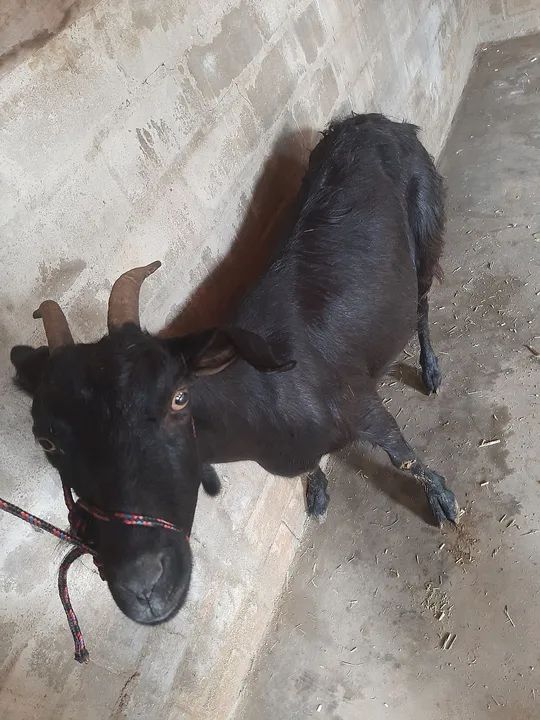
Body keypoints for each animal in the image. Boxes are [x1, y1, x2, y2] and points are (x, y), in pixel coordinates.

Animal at [11, 113, 459, 625]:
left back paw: (430, 371)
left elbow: (401, 453)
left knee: (422, 303)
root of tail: (380, 121)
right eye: (46, 441)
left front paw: (442, 500)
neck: (266, 406)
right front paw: (317, 492)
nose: (144, 587)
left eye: (179, 397)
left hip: (426, 220)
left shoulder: (362, 402)